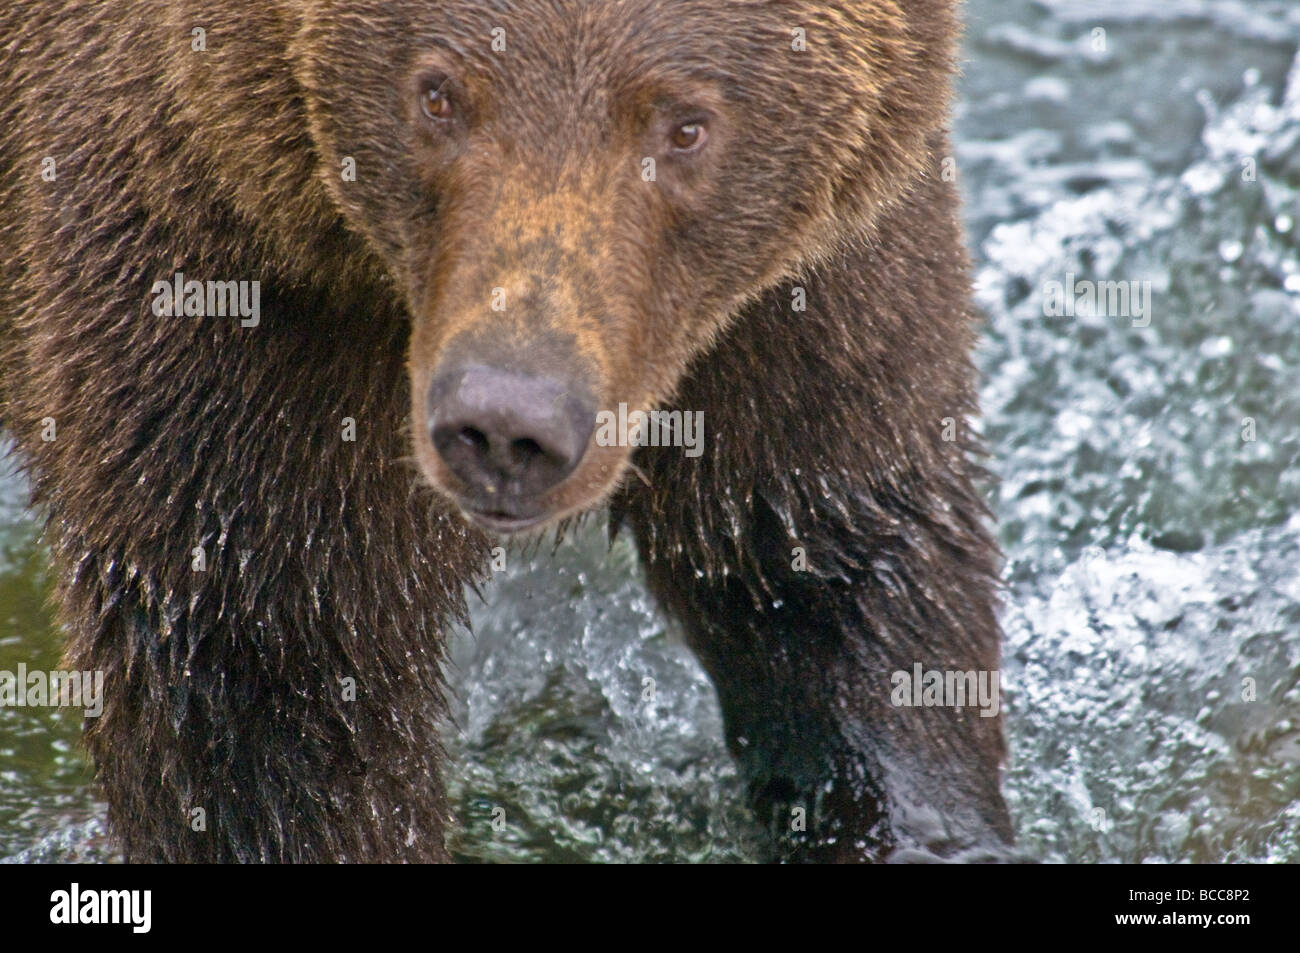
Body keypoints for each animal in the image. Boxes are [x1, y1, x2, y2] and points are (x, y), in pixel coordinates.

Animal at [0, 0, 1008, 863]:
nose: (506, 423)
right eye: (439, 94)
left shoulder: (805, 290)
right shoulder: (220, 278)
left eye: (684, 124)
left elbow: (839, 562)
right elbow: (262, 675)